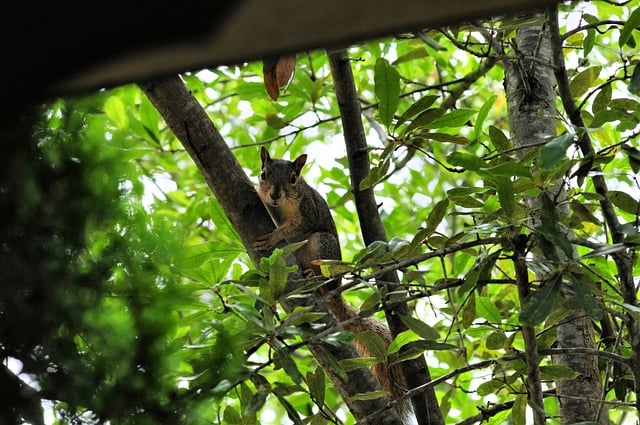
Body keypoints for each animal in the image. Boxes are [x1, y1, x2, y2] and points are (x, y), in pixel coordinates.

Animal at [253, 146, 411, 419]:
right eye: (263, 174)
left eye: (293, 178)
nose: (274, 194)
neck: (283, 205)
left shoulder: (308, 210)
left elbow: (294, 227)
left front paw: (274, 236)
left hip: (321, 244)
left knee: (324, 274)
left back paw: (315, 278)